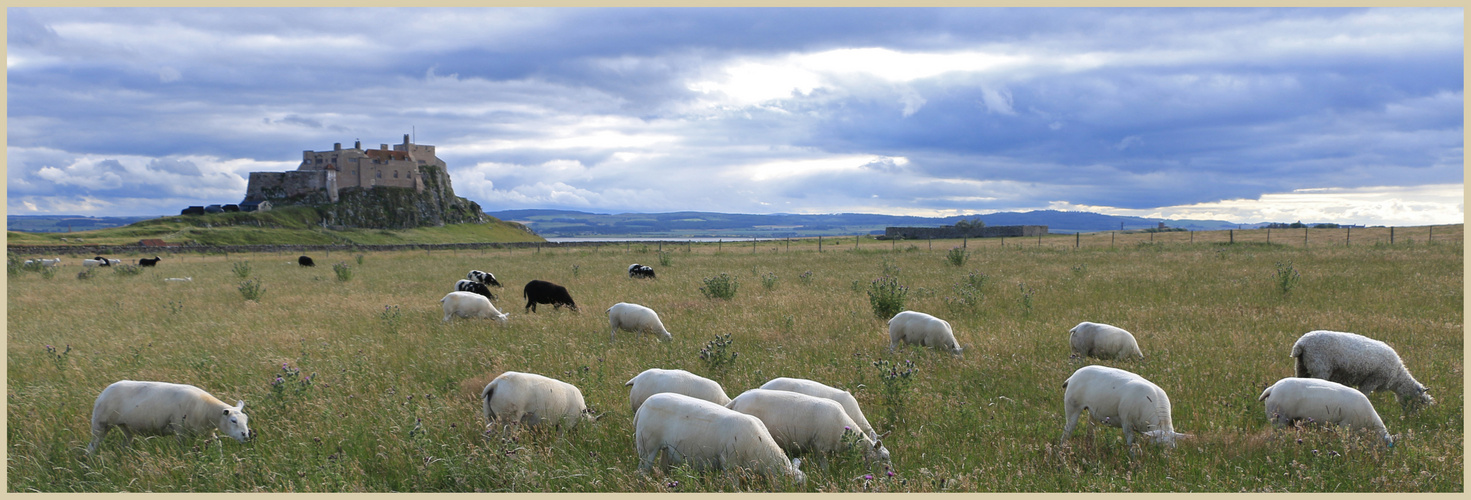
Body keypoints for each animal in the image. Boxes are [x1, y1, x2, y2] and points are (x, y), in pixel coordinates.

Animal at [86, 379, 250, 455]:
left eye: (246, 420)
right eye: (233, 421)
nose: (246, 436)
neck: (206, 409)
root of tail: (103, 392)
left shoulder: (206, 431)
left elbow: (218, 444)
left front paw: (220, 459)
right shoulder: (180, 430)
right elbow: (182, 448)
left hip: (125, 426)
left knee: (126, 442)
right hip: (100, 423)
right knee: (93, 445)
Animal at [632, 391, 806, 485]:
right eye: (797, 486)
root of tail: (644, 405)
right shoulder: (730, 464)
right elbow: (734, 486)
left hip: (665, 448)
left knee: (663, 466)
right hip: (647, 445)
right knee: (642, 470)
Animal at [1294, 327, 1429, 408]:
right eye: (1421, 401)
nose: (1413, 419)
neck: (1397, 377)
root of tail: (1301, 343)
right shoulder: (1372, 381)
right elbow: (1364, 394)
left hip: (1301, 367)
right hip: (1320, 368)